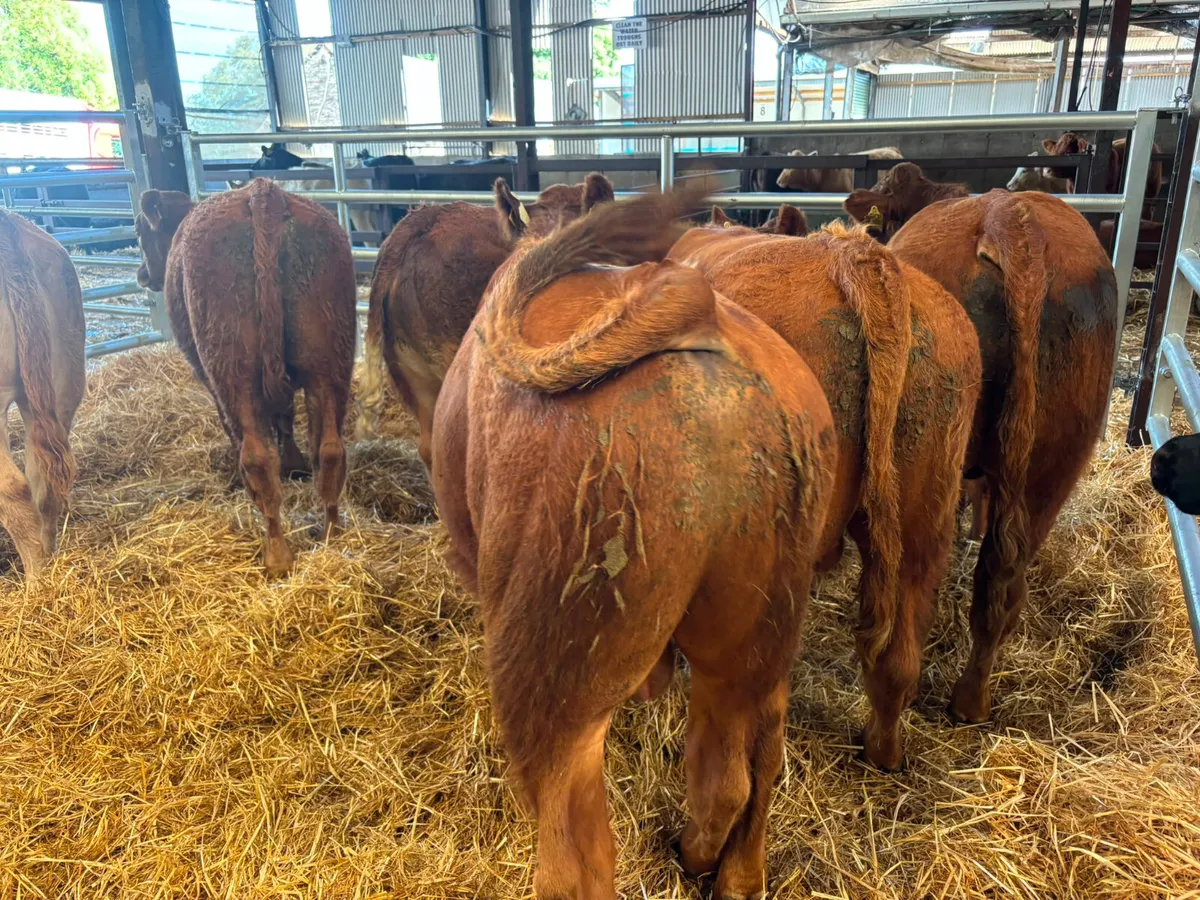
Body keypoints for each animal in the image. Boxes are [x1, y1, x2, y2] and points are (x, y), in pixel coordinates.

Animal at [133, 180, 356, 576]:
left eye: (140, 231)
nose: (142, 274)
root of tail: (264, 194)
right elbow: (285, 417)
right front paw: (294, 463)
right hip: (329, 366)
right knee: (329, 449)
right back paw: (331, 534)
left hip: (233, 373)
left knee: (256, 457)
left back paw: (277, 555)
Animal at [430, 185, 837, 900]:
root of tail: (695, 309)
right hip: (762, 633)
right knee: (743, 762)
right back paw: (719, 866)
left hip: (556, 675)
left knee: (576, 854)